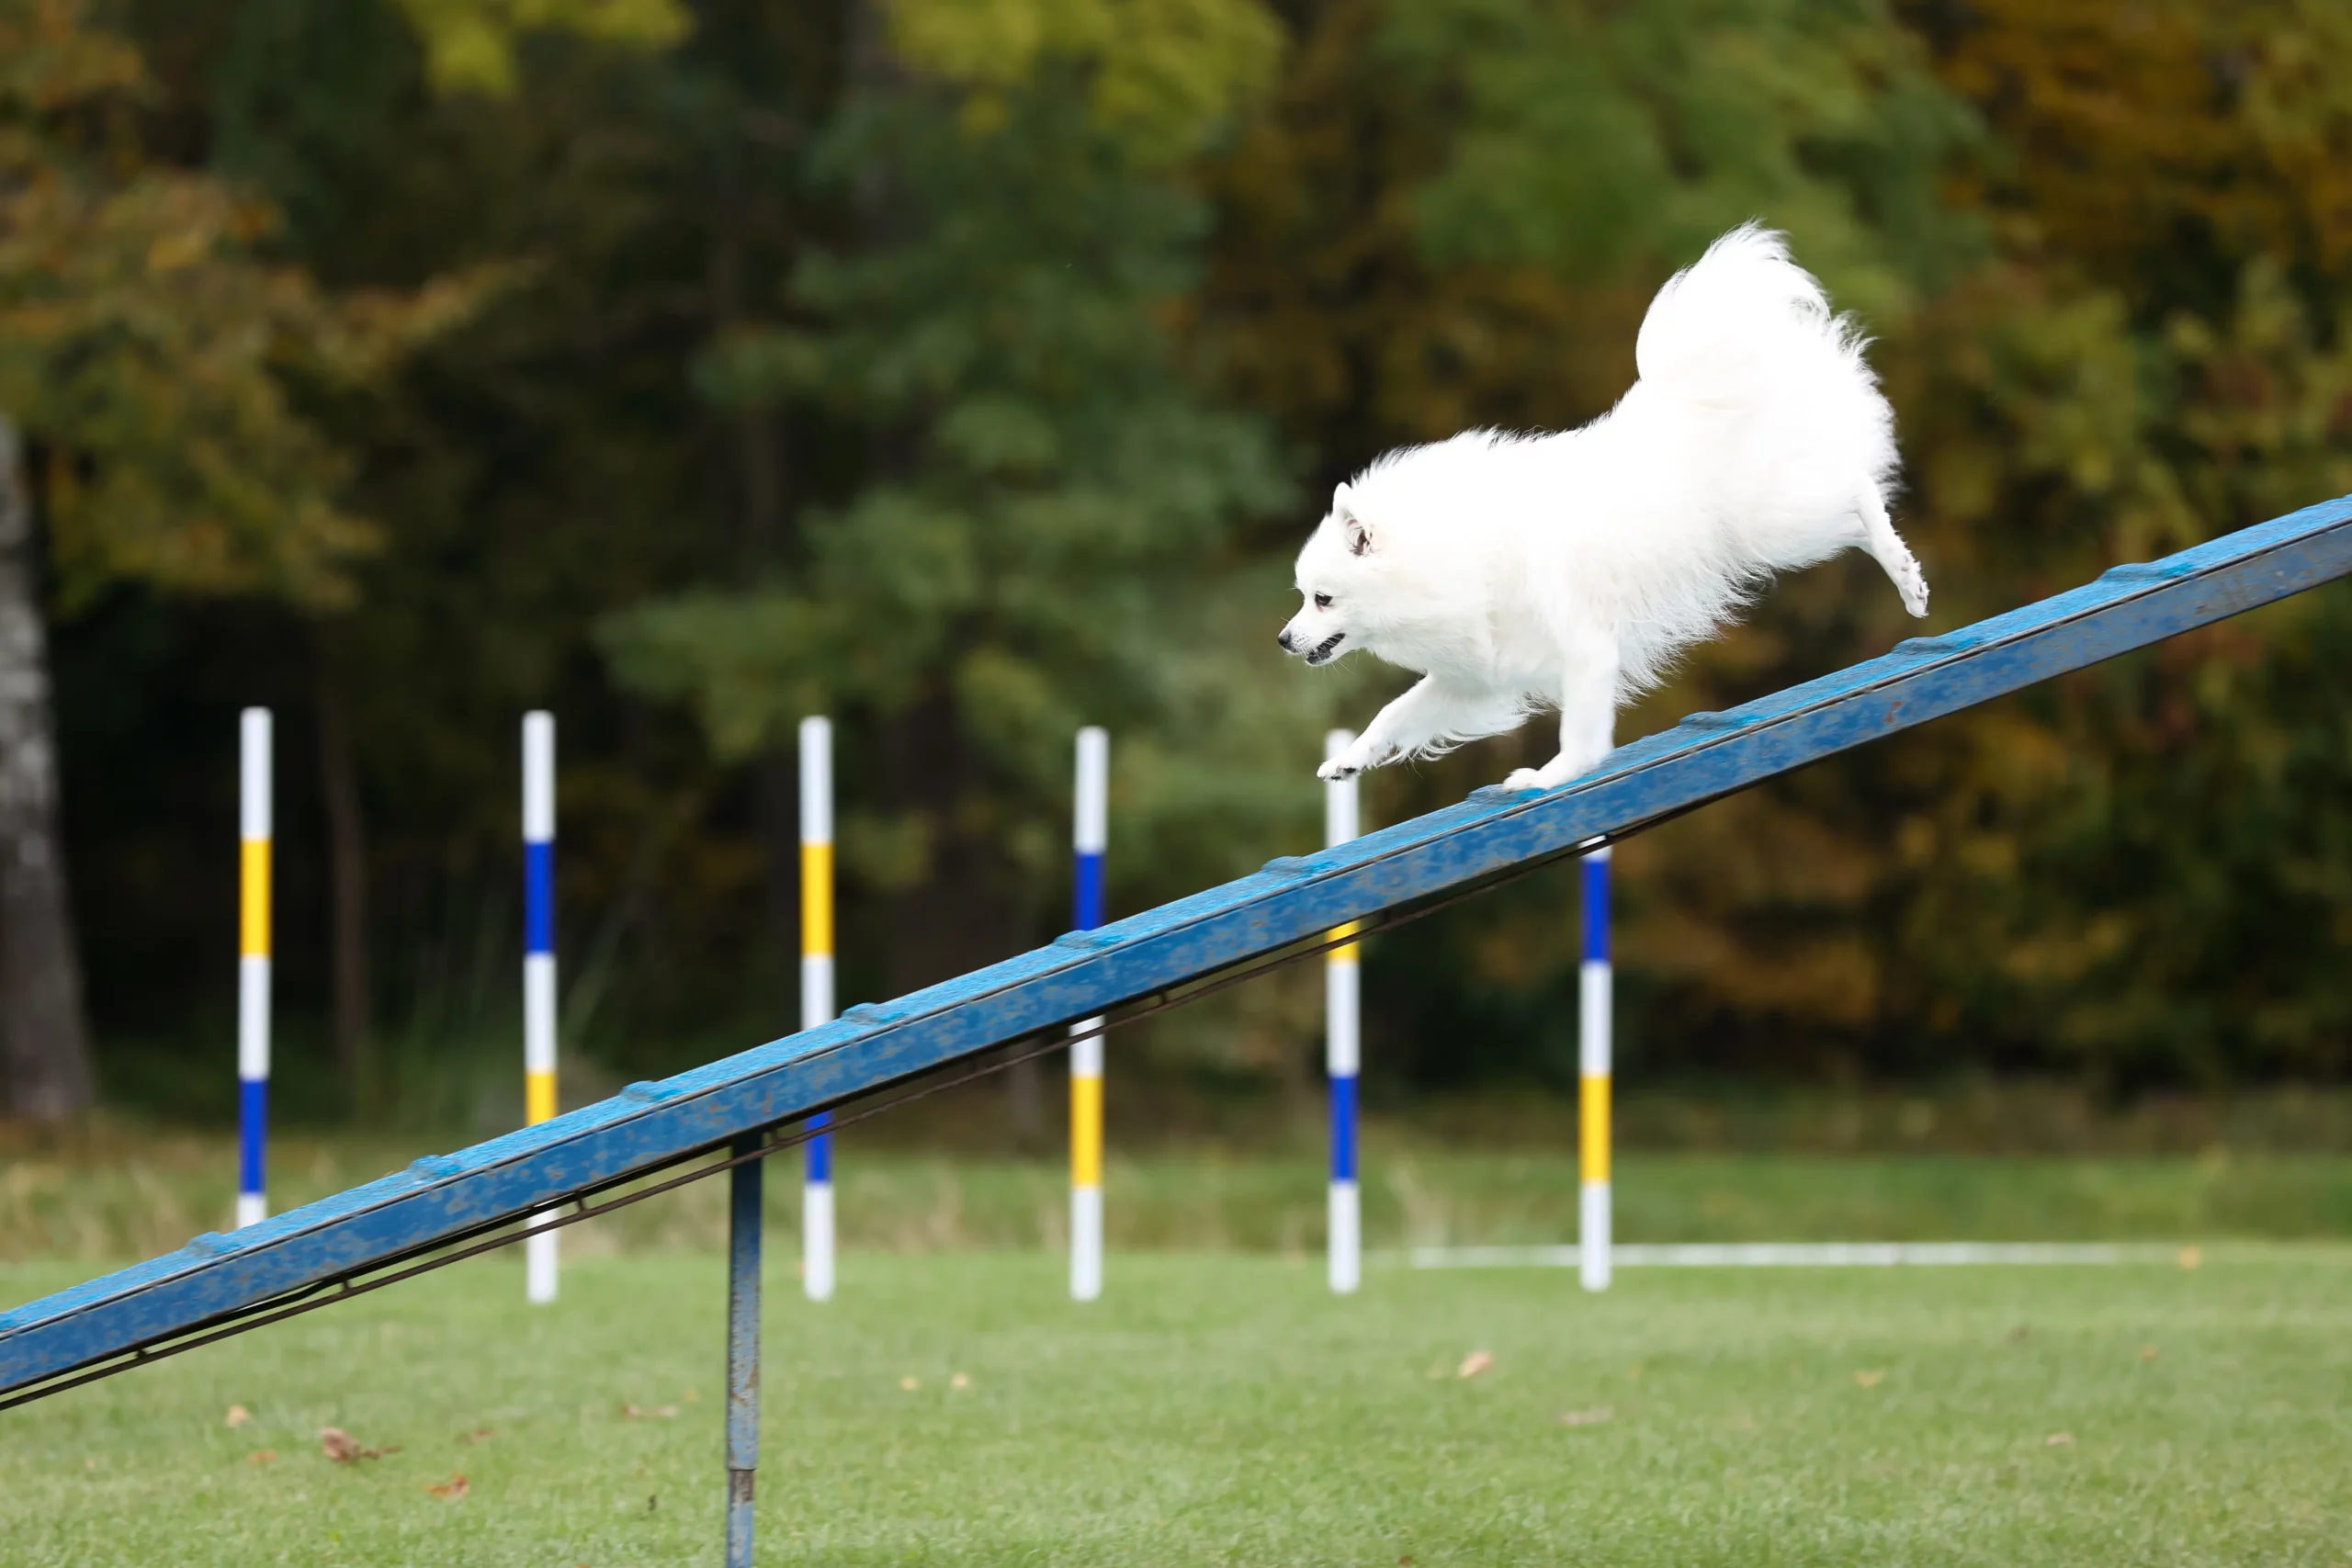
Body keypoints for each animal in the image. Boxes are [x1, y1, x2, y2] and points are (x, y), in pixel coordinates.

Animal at [1288, 225, 1928, 789]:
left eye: (1323, 599)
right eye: (1304, 597)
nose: (1283, 640)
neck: (1448, 558)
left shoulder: (1583, 648)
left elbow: (1579, 734)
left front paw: (1547, 779)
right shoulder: (1476, 675)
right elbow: (1395, 712)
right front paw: (1349, 759)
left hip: (1772, 526)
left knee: (1857, 487)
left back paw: (1906, 575)